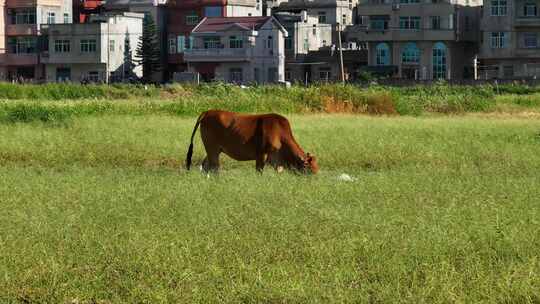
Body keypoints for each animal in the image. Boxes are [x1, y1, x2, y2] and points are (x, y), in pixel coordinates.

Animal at [187, 110, 318, 175]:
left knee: (204, 166)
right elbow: (259, 172)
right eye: (310, 169)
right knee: (214, 168)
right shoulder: (261, 155)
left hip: (214, 150)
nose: (316, 179)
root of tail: (208, 111)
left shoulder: (275, 160)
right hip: (212, 149)